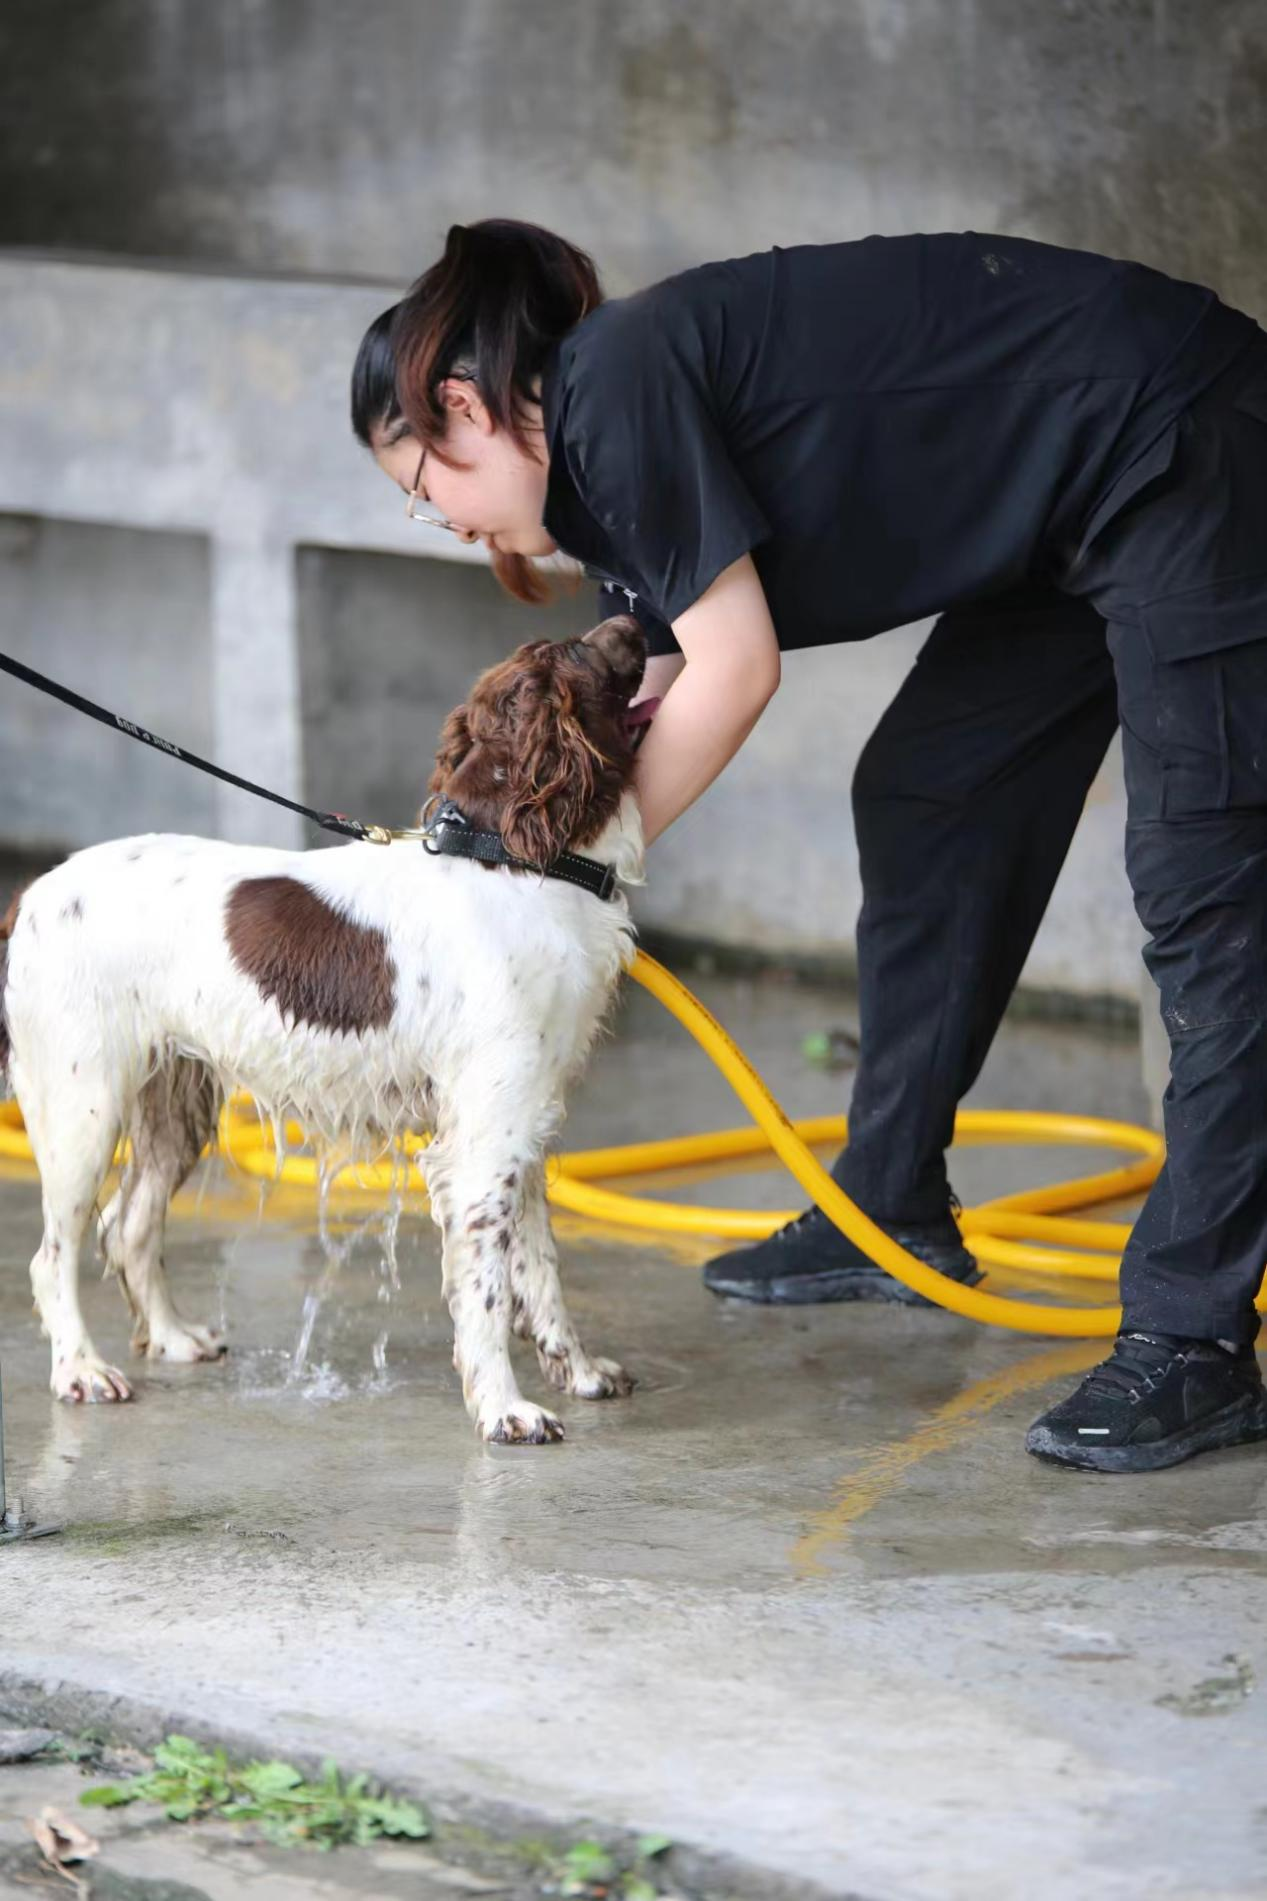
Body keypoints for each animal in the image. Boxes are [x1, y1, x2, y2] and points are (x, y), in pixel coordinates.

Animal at [0, 619, 646, 1437]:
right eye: (584, 650)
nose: (636, 622)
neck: (506, 857)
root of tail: (31, 896)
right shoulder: (482, 1144)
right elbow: (489, 1293)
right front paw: (504, 1408)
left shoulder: (524, 1125)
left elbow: (542, 1271)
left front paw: (580, 1373)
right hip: (82, 1109)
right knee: (55, 1253)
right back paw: (81, 1369)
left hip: (176, 1099)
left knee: (129, 1225)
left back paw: (173, 1336)